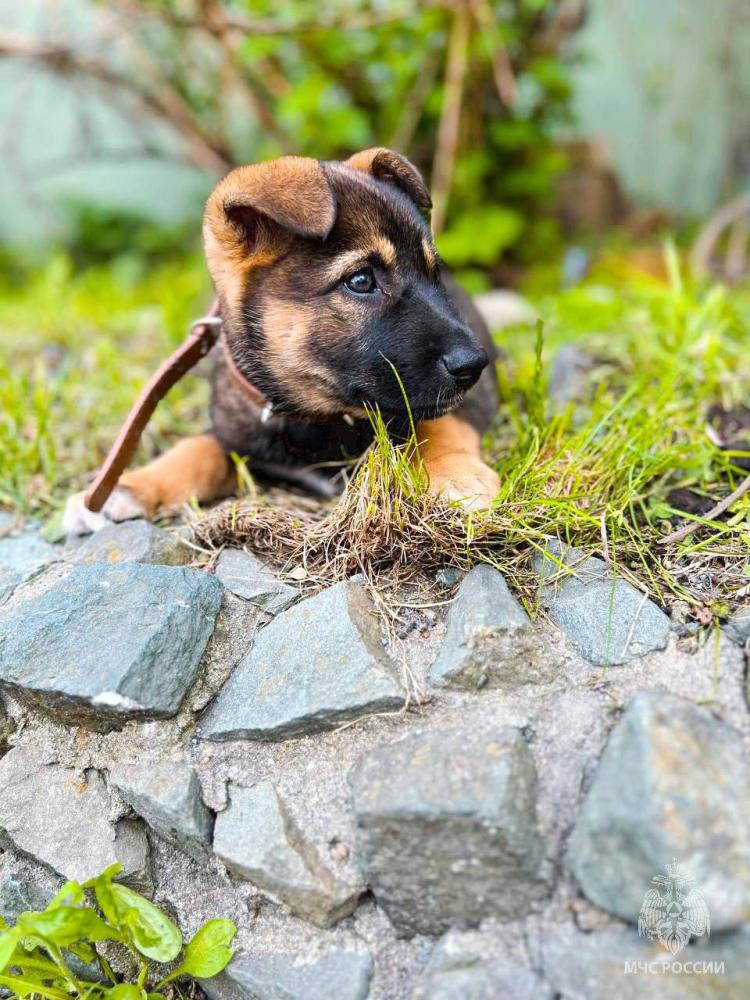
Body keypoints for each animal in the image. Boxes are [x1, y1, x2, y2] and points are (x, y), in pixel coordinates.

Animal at [63, 147, 500, 536]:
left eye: (434, 273)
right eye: (360, 280)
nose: (474, 364)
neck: (319, 417)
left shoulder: (463, 402)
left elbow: (439, 423)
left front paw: (455, 475)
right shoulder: (238, 432)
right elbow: (196, 448)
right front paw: (126, 486)